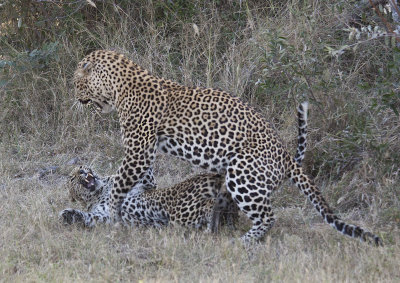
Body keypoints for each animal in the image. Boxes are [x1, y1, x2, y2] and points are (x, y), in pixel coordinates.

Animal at [59, 166, 238, 231]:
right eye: (72, 178)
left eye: (82, 166)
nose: (82, 170)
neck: (100, 191)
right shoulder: (106, 217)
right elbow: (90, 217)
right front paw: (69, 214)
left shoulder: (148, 183)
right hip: (183, 216)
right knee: (211, 207)